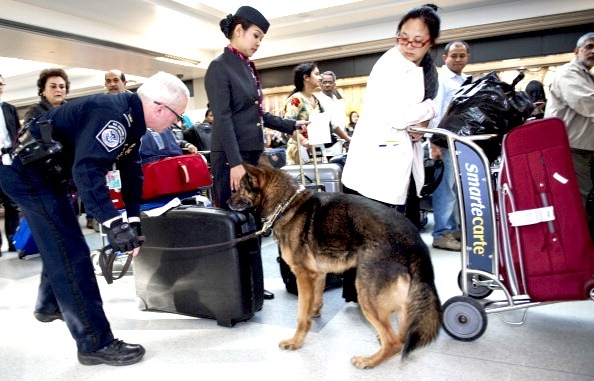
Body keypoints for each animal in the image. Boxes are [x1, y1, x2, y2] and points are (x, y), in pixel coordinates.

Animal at [227, 163, 440, 368]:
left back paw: (368, 361)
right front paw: (314, 314)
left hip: (365, 294)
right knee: (401, 336)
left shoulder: (303, 275)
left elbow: (301, 314)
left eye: (240, 188)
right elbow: (315, 300)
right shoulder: (318, 274)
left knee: (393, 342)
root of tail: (413, 239)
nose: (228, 202)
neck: (286, 204)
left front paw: (296, 340)